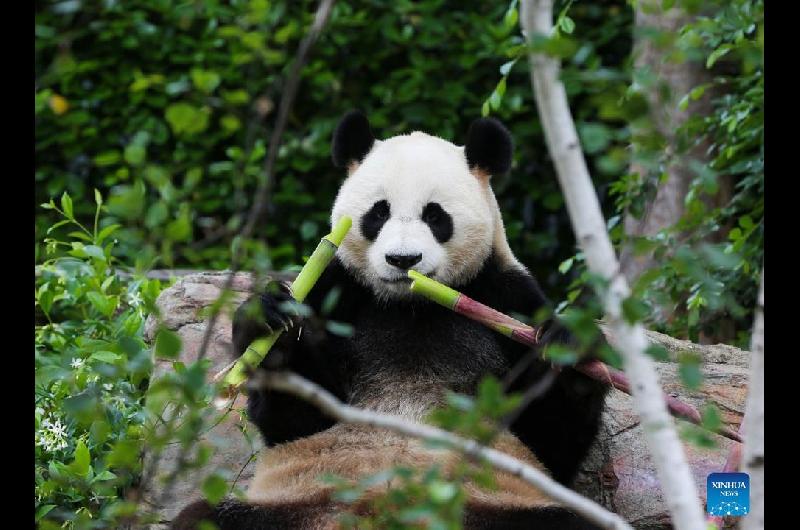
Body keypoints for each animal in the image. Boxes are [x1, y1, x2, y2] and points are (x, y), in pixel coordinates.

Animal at [171, 110, 609, 530]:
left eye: (435, 216)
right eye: (378, 213)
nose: (403, 260)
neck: (410, 306)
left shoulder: (507, 298)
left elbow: (549, 440)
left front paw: (571, 349)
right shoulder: (335, 290)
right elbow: (294, 420)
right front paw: (270, 324)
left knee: (567, 522)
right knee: (202, 517)